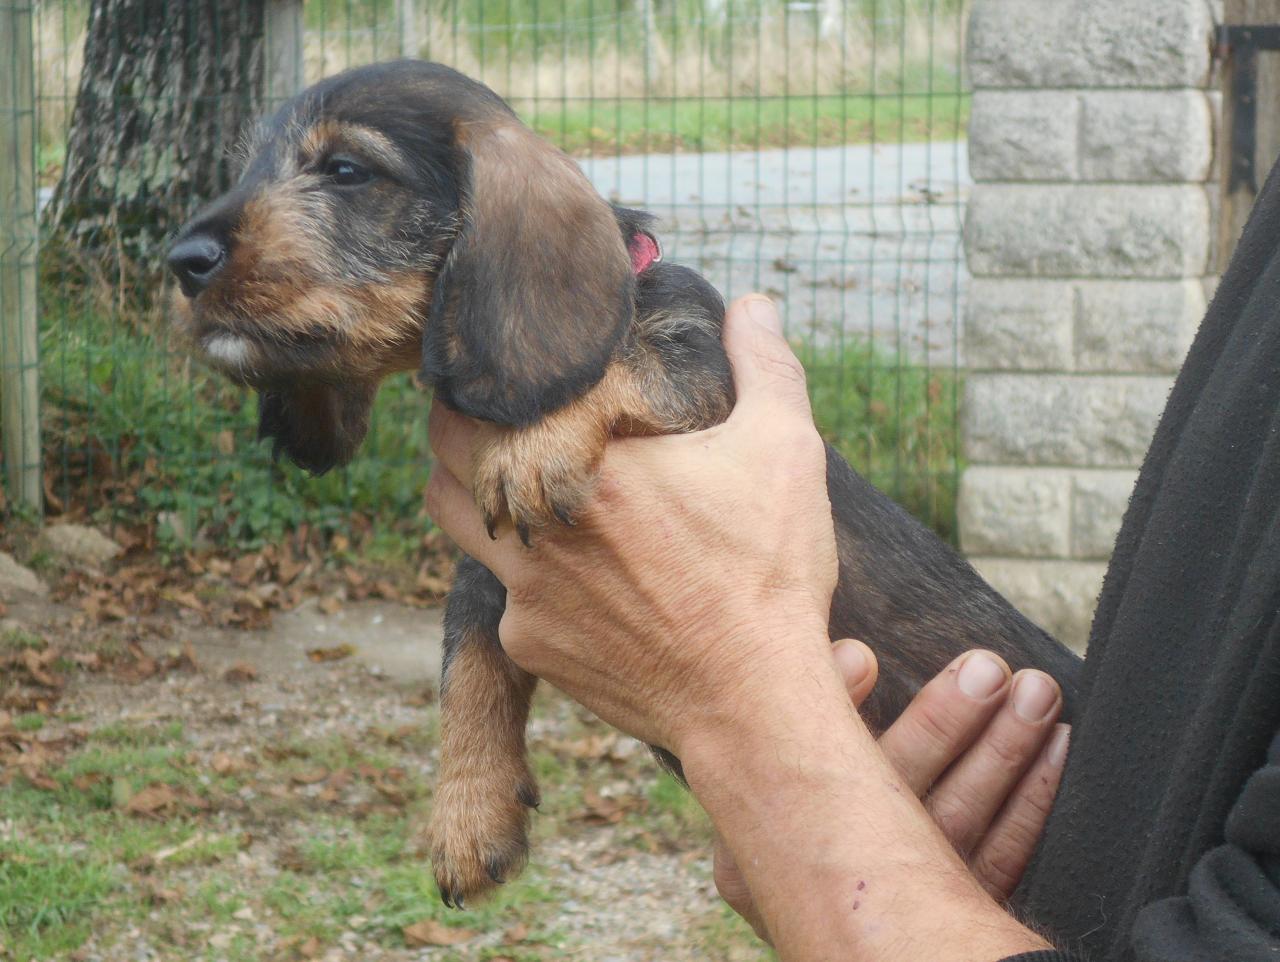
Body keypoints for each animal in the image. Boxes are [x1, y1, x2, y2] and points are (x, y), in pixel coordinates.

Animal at [170, 62, 1085, 910]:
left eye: (347, 170)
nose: (182, 261)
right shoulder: (484, 568)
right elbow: (467, 670)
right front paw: (469, 820)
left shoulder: (700, 371)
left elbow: (629, 365)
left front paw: (535, 445)